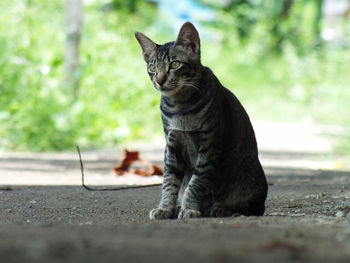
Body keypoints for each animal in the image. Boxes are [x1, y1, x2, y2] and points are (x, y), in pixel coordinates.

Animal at [135, 21, 268, 220]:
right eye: (152, 68)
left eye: (175, 64)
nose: (159, 80)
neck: (180, 107)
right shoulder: (172, 144)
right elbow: (169, 181)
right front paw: (165, 208)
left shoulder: (210, 144)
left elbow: (196, 182)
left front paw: (189, 208)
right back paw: (180, 207)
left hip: (251, 176)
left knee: (251, 208)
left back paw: (223, 209)